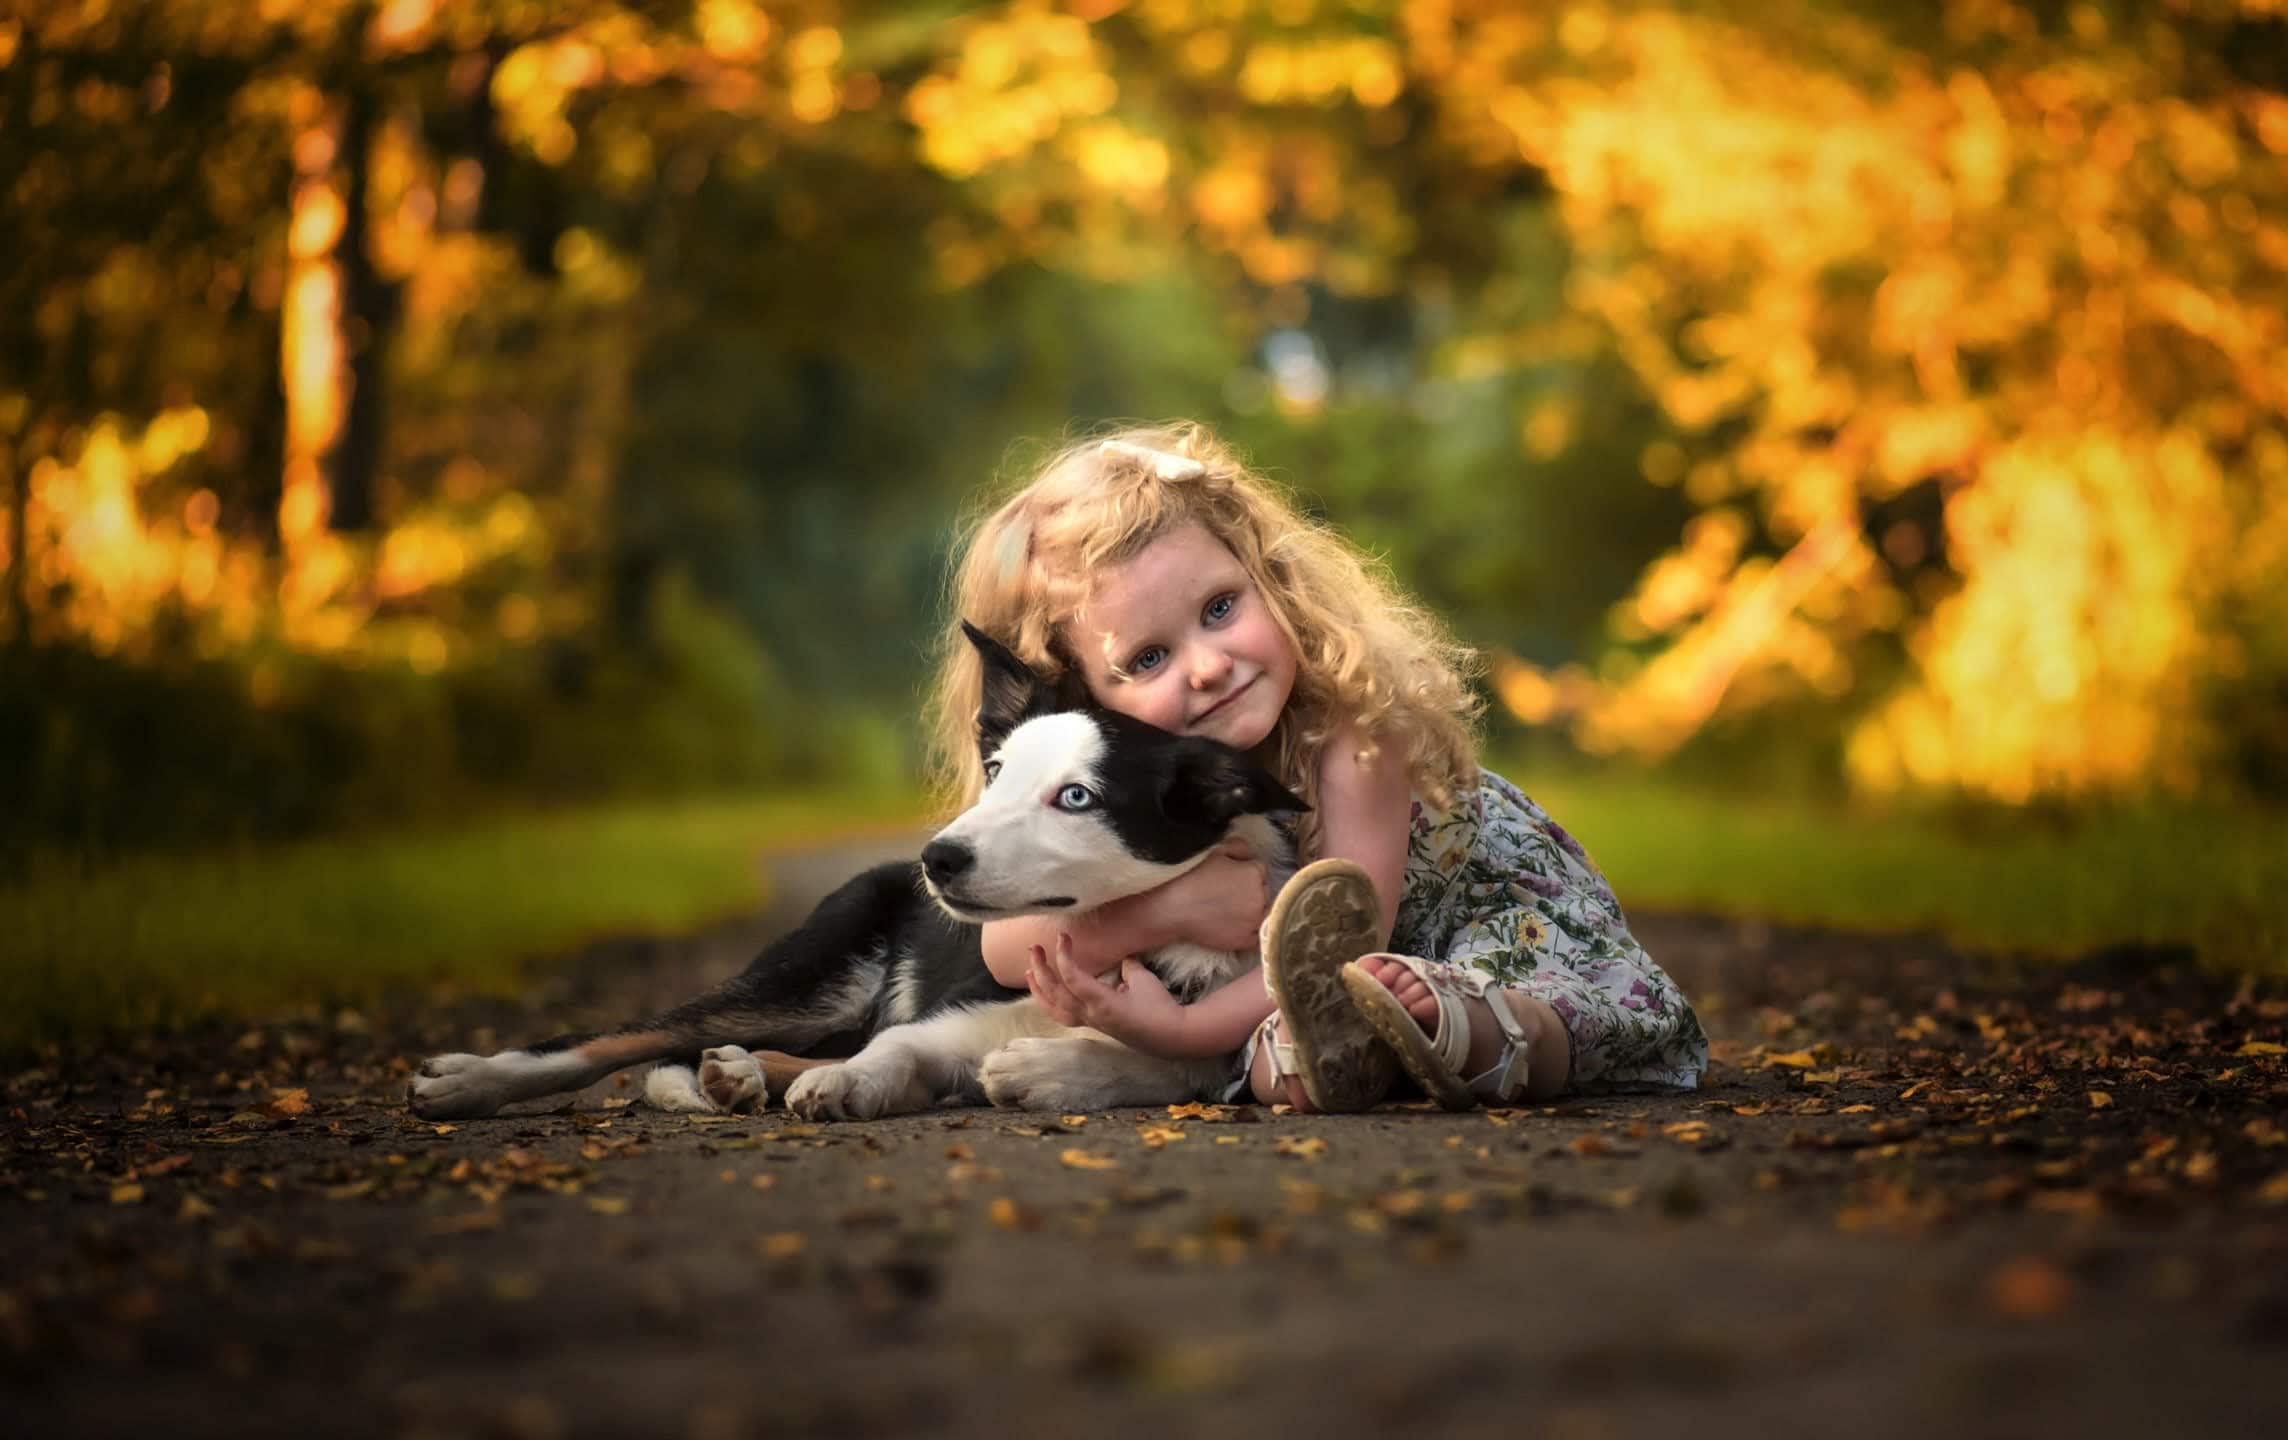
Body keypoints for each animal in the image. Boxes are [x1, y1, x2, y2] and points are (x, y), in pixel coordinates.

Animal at [407, 622, 1308, 1121]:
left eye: (1077, 796)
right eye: (994, 771)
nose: (937, 861)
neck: (1121, 951)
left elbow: (1170, 1058)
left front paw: (1053, 1069)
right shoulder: (945, 1019)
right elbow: (895, 1049)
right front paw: (857, 1086)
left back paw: (744, 1075)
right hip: (810, 973)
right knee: (619, 1037)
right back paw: (465, 1081)